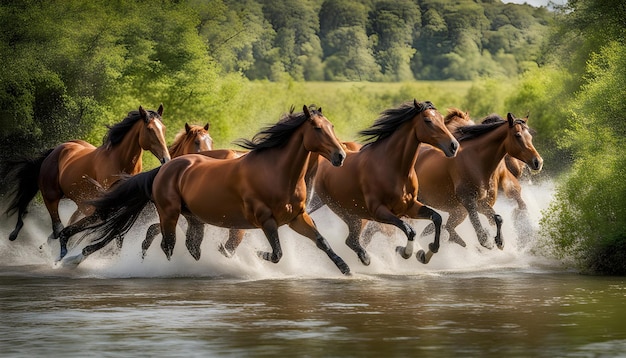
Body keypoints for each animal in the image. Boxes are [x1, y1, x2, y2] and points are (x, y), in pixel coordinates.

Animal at [2, 105, 169, 252]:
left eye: (164, 129)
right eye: (150, 129)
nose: (166, 159)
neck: (120, 160)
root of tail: (56, 150)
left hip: (77, 202)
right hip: (51, 197)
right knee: (57, 228)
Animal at [58, 105, 352, 276]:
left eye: (332, 127)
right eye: (317, 128)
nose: (340, 156)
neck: (277, 173)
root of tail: (164, 169)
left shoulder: (297, 218)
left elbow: (322, 241)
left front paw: (345, 268)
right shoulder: (265, 220)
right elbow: (277, 254)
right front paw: (256, 257)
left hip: (193, 218)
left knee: (190, 246)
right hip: (169, 215)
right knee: (167, 245)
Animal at [308, 99, 458, 268]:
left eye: (442, 119)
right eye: (428, 120)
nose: (453, 146)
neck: (395, 168)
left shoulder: (410, 206)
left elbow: (437, 218)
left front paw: (426, 253)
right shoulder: (379, 211)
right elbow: (409, 230)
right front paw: (405, 252)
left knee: (354, 240)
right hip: (351, 214)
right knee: (352, 240)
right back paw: (366, 259)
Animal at [410, 112, 540, 249]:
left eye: (530, 136)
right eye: (518, 135)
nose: (538, 162)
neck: (475, 160)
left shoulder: (479, 202)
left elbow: (497, 217)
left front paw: (500, 241)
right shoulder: (467, 200)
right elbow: (476, 226)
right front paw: (487, 241)